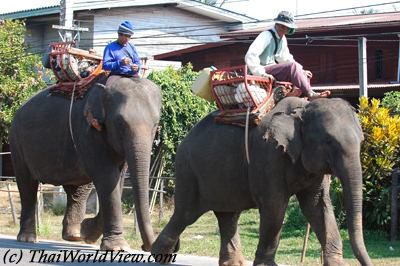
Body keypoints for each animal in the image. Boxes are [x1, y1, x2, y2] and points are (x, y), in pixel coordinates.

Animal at [9, 74, 159, 251]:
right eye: (120, 124)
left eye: (156, 126)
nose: (145, 247)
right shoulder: (87, 131)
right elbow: (107, 177)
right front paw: (116, 247)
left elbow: (118, 180)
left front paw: (88, 232)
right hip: (17, 143)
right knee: (27, 185)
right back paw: (28, 238)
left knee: (77, 188)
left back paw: (74, 235)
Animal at [152, 96, 374, 264]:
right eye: (329, 142)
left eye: (362, 141)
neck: (302, 109)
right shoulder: (268, 155)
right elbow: (275, 207)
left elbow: (317, 205)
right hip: (188, 171)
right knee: (186, 214)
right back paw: (159, 253)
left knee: (228, 216)